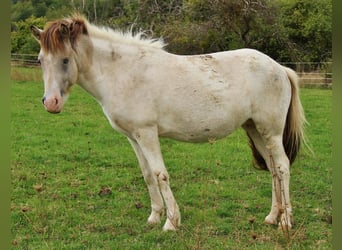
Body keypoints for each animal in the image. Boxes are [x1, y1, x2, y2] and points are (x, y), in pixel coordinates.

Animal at [30, 14, 306, 231]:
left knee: (282, 167)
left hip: (271, 131)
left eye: (65, 60)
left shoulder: (147, 134)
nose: (51, 103)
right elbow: (147, 175)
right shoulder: (133, 137)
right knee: (272, 168)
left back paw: (285, 221)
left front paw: (171, 222)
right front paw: (154, 217)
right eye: (41, 60)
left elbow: (160, 174)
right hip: (255, 130)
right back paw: (272, 216)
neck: (123, 73)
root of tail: (280, 68)